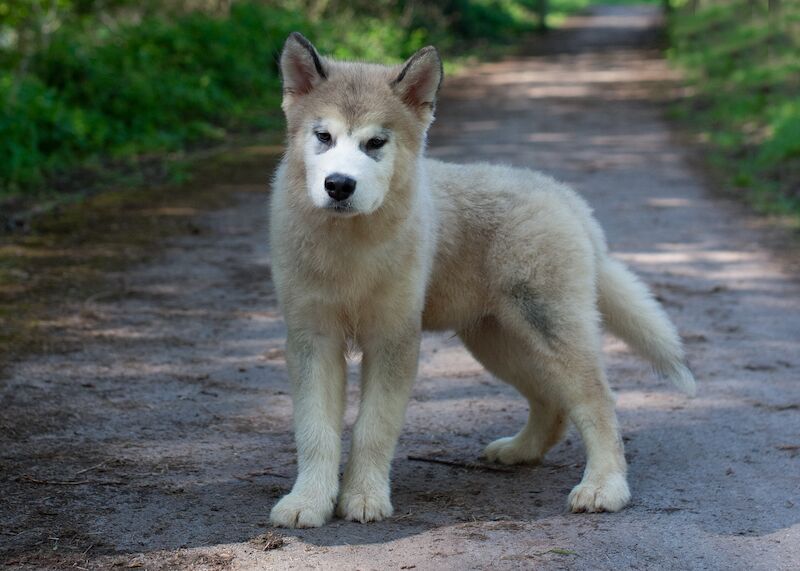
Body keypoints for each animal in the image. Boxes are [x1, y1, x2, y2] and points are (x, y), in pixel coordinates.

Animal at [268, 33, 692, 528]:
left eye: (375, 142)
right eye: (323, 137)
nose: (339, 185)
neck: (349, 246)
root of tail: (561, 195)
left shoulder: (394, 340)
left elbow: (373, 428)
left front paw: (364, 497)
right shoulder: (312, 339)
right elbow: (315, 431)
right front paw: (308, 502)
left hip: (550, 326)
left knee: (597, 401)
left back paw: (604, 487)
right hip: (497, 339)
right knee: (551, 403)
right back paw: (521, 451)